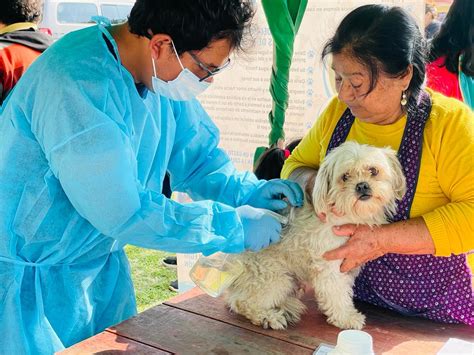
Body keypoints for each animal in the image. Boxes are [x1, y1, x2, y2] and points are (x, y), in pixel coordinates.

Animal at [226, 142, 408, 330]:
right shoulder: (330, 264)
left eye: (373, 170)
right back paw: (268, 317)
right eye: (345, 176)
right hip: (275, 278)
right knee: (241, 302)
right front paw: (346, 317)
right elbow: (336, 292)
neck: (350, 214)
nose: (362, 186)